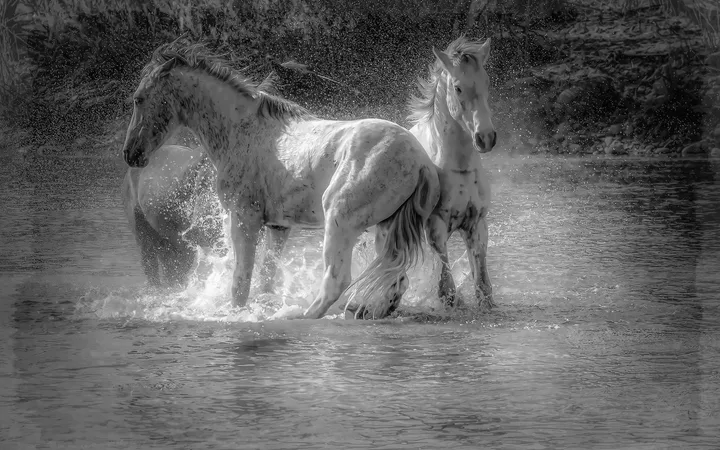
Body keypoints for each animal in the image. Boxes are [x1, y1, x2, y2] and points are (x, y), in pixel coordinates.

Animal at [407, 36, 497, 311]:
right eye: (457, 88)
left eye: (486, 81)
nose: (485, 137)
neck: (460, 168)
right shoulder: (436, 227)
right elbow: (447, 291)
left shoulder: (476, 225)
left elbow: (483, 288)